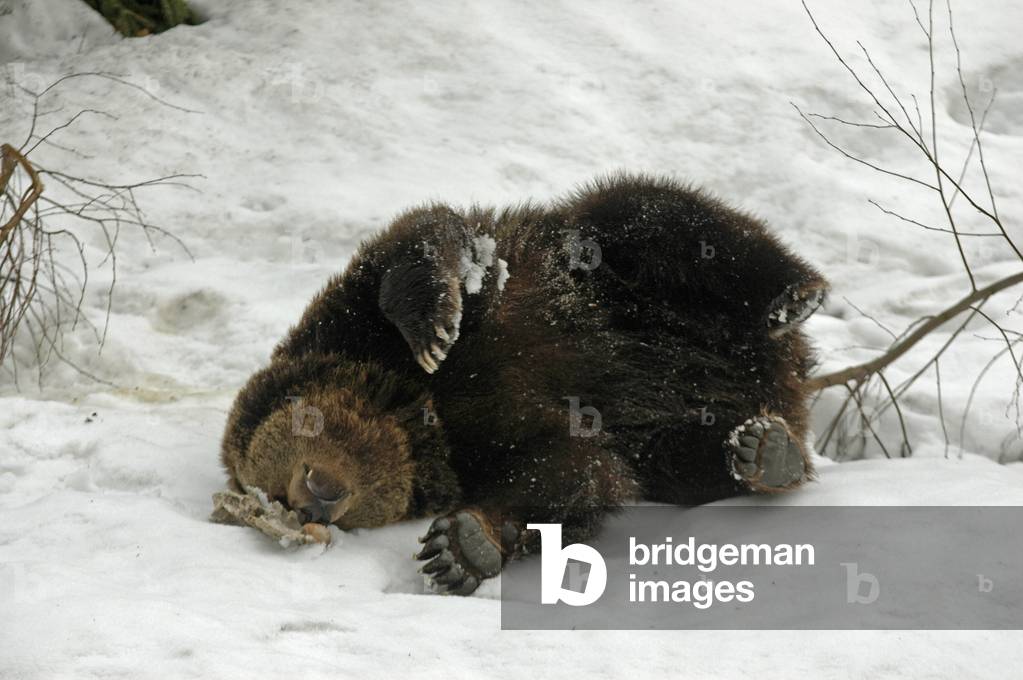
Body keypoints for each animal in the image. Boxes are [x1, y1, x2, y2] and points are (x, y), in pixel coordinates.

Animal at [219, 170, 826, 593]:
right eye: (273, 499)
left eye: (289, 471)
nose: (313, 503)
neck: (419, 408)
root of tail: (787, 374)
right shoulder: (473, 452)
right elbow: (575, 473)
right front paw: (463, 547)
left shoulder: (359, 316)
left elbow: (425, 241)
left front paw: (434, 324)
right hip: (670, 444)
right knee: (694, 460)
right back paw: (763, 451)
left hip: (632, 280)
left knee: (657, 219)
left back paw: (794, 296)